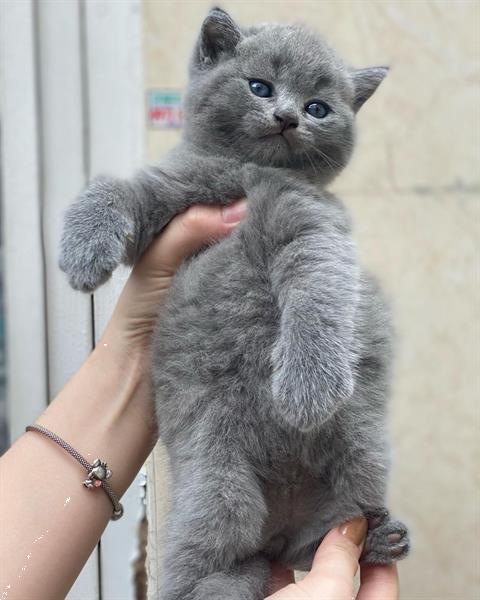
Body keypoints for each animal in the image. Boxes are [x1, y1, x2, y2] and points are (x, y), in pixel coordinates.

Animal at [60, 7, 408, 596]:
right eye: (259, 86)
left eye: (318, 107)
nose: (287, 116)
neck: (246, 174)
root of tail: (279, 525)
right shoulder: (166, 196)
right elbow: (113, 189)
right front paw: (83, 252)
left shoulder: (314, 230)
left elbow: (319, 294)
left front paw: (307, 389)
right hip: (216, 482)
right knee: (209, 560)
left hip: (361, 448)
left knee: (318, 538)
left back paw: (369, 540)